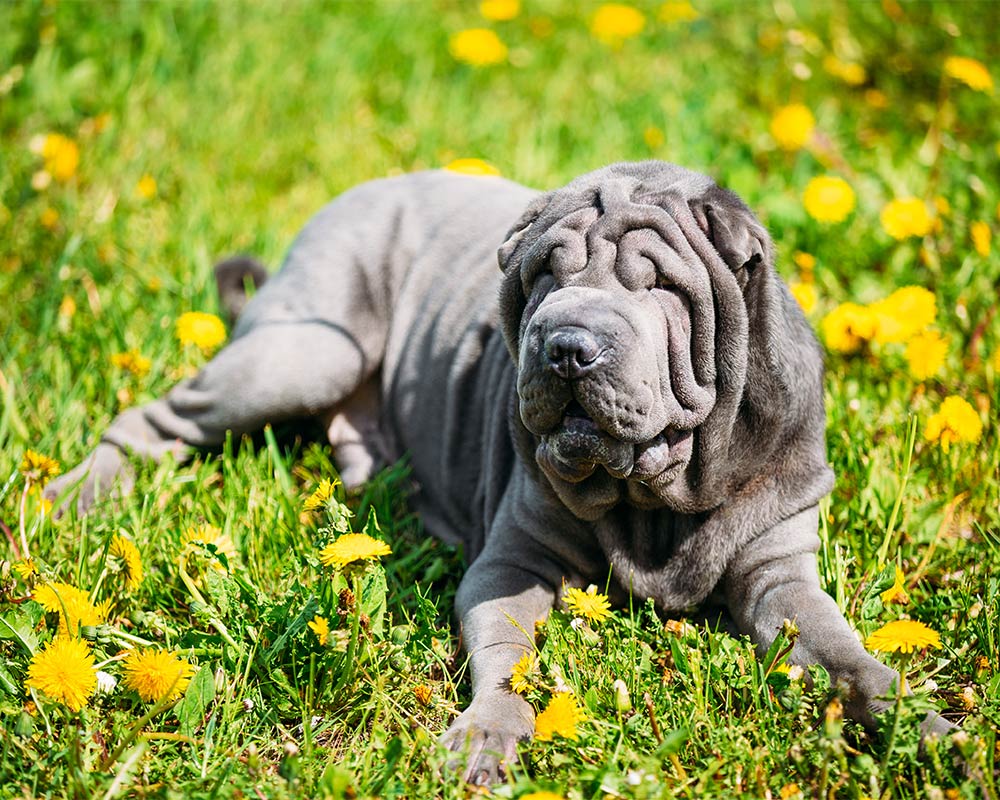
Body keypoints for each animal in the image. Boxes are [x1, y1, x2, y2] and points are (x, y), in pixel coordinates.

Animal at [48, 162, 952, 780]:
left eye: (658, 286)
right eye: (546, 275)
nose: (567, 347)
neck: (654, 493)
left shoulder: (779, 571)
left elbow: (844, 653)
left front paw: (924, 727)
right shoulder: (514, 560)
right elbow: (507, 652)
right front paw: (489, 733)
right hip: (305, 348)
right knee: (155, 420)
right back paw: (74, 495)